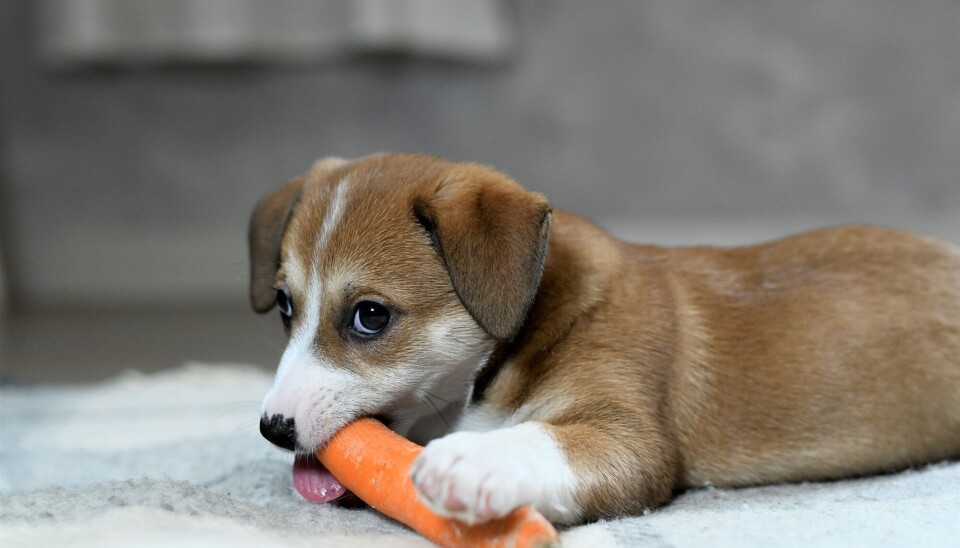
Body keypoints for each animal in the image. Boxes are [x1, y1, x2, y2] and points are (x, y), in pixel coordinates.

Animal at [249, 152, 960, 524]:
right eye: (284, 305)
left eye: (369, 316)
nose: (274, 428)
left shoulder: (629, 438)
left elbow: (539, 440)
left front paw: (472, 462)